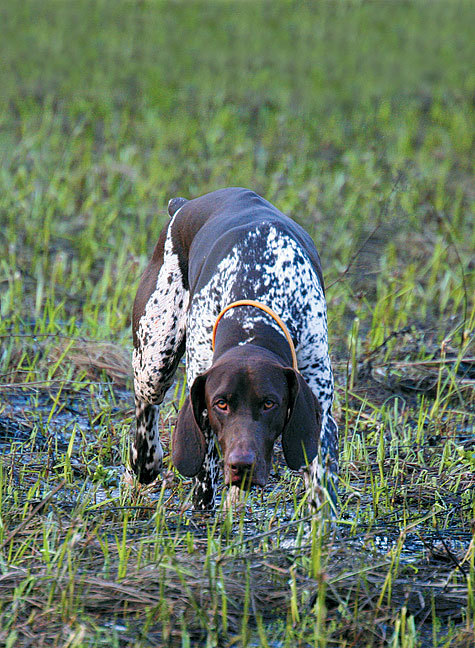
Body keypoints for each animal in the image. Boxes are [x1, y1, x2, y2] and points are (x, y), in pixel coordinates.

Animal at [130, 187, 338, 512]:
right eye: (221, 404)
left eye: (270, 403)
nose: (242, 465)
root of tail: (183, 206)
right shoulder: (201, 400)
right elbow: (205, 476)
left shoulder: (320, 413)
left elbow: (319, 485)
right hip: (155, 360)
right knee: (146, 403)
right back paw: (145, 462)